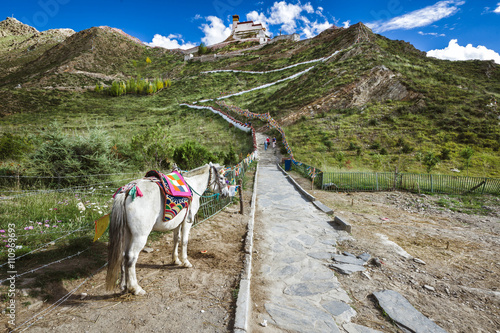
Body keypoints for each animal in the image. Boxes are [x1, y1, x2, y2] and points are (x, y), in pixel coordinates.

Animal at [107, 162, 230, 294]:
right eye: (221, 178)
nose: (226, 193)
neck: (192, 186)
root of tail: (128, 191)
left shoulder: (177, 223)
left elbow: (176, 239)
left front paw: (175, 260)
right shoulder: (187, 222)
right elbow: (184, 241)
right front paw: (185, 262)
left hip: (127, 233)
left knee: (123, 255)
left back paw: (124, 285)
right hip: (140, 236)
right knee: (131, 257)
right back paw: (135, 288)